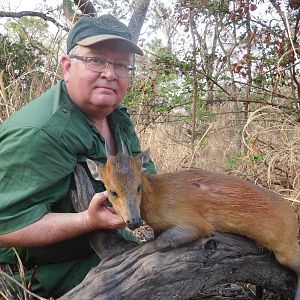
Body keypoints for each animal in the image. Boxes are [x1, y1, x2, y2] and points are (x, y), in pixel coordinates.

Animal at [86, 144, 300, 298]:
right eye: (112, 191)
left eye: (138, 186)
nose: (134, 221)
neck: (158, 195)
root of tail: (292, 215)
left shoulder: (195, 223)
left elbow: (161, 241)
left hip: (285, 248)